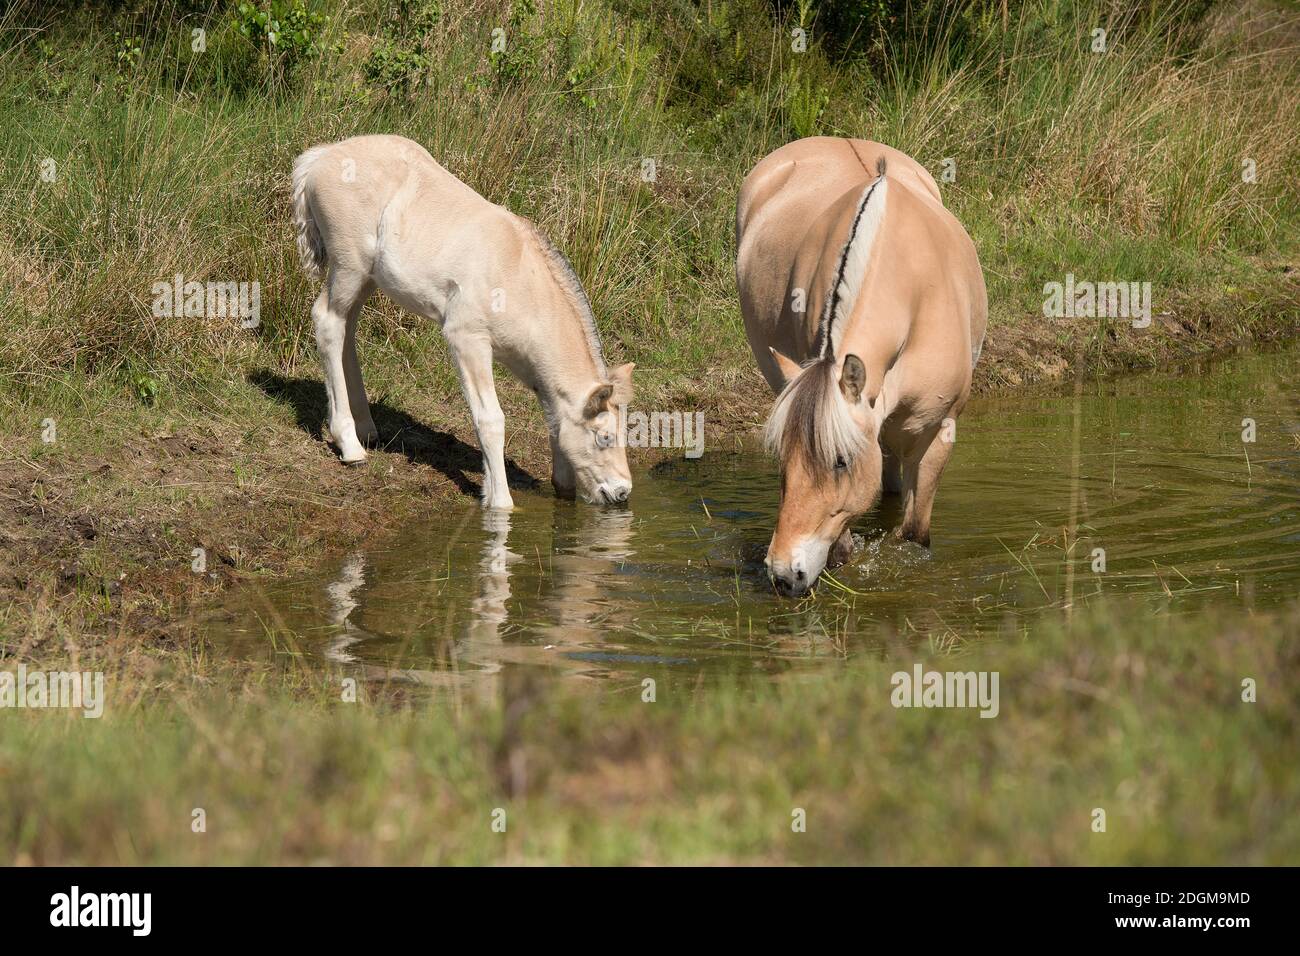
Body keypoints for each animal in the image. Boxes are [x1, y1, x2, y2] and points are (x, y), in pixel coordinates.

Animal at [296, 136, 639, 509]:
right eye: (604, 437)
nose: (621, 491)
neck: (519, 278)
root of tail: (322, 156)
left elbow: (552, 417)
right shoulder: (467, 339)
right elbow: (490, 419)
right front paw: (500, 502)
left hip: (367, 278)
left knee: (348, 328)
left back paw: (366, 429)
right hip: (349, 266)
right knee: (329, 322)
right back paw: (349, 444)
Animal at [738, 136, 987, 598]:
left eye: (840, 461)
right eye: (782, 457)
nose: (783, 574)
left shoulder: (937, 432)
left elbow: (914, 534)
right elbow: (842, 547)